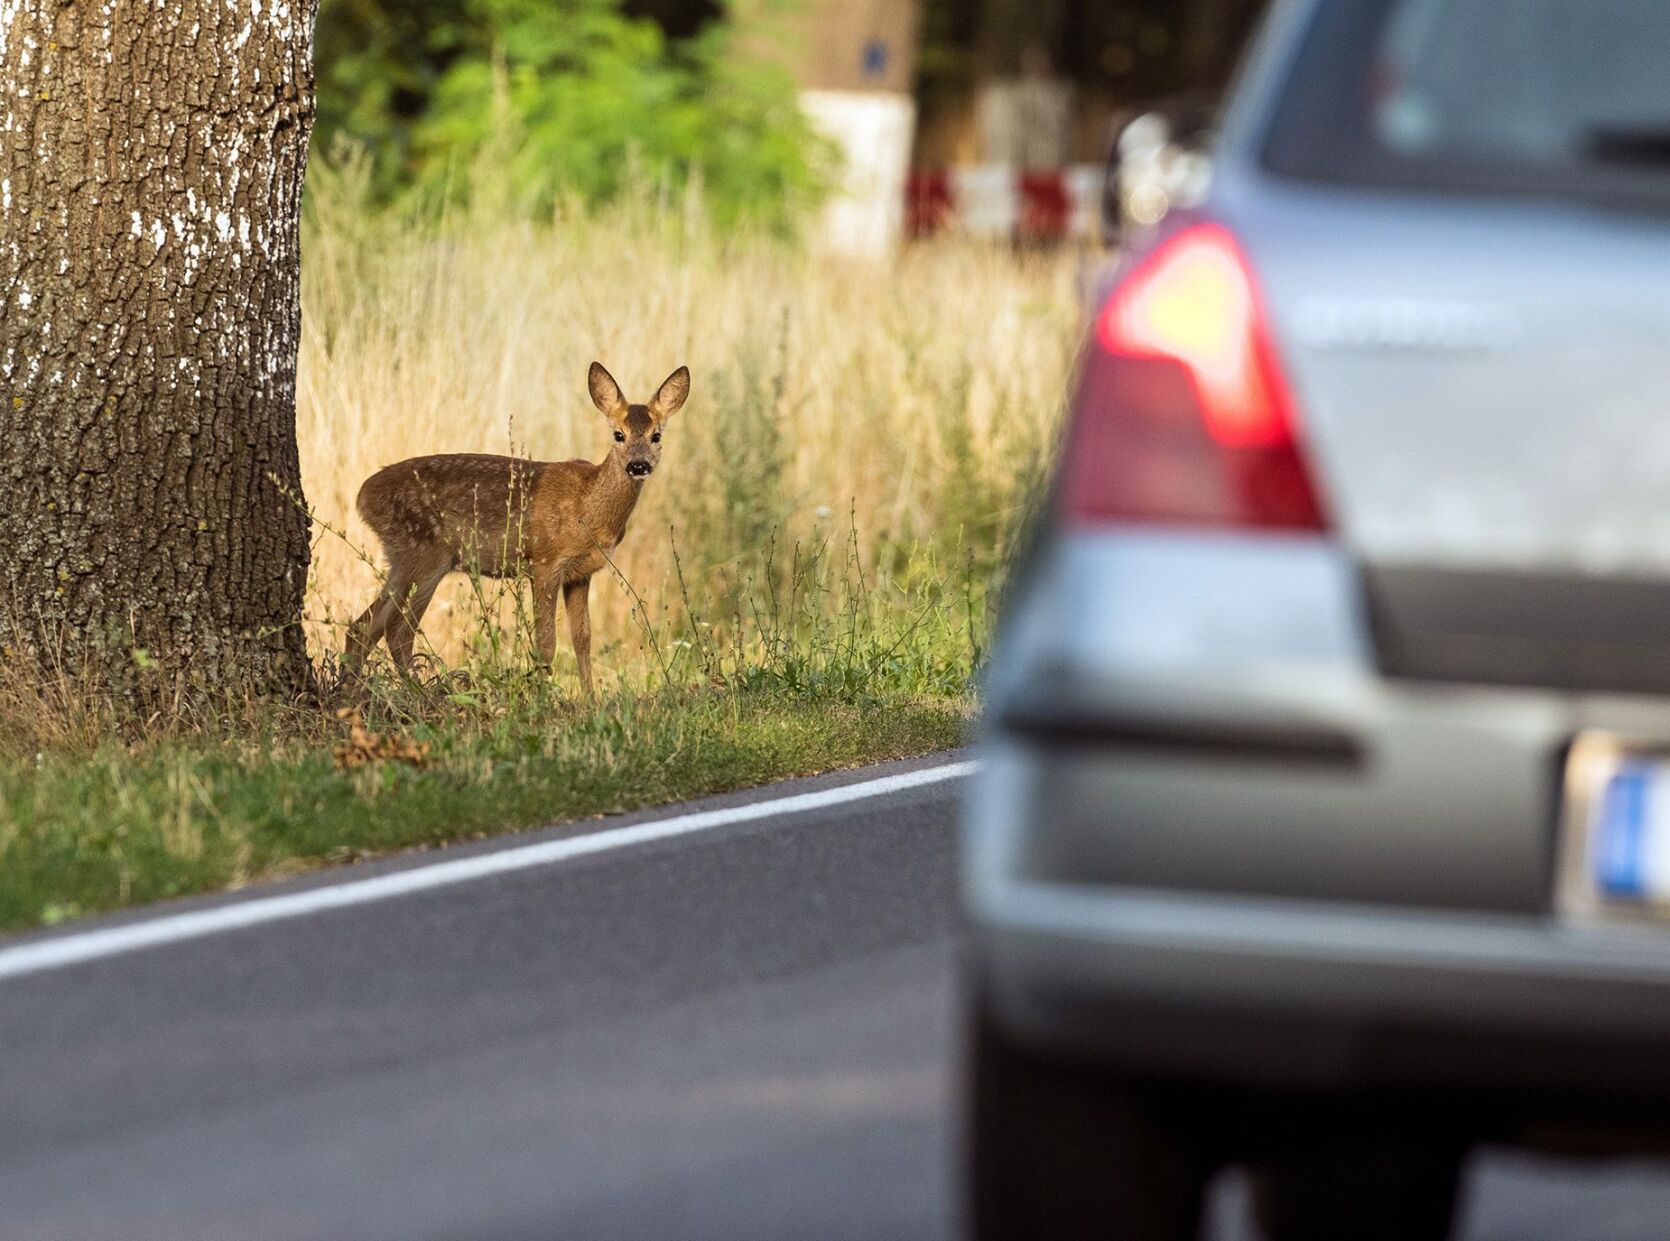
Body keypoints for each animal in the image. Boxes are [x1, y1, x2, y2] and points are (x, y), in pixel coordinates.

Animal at [345, 362, 691, 698]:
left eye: (656, 436)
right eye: (618, 434)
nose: (638, 465)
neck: (589, 507)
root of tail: (363, 496)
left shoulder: (580, 574)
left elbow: (583, 639)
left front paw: (591, 703)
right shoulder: (545, 563)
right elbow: (546, 644)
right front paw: (543, 699)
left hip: (401, 559)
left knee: (363, 627)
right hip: (425, 555)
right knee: (398, 631)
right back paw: (420, 693)